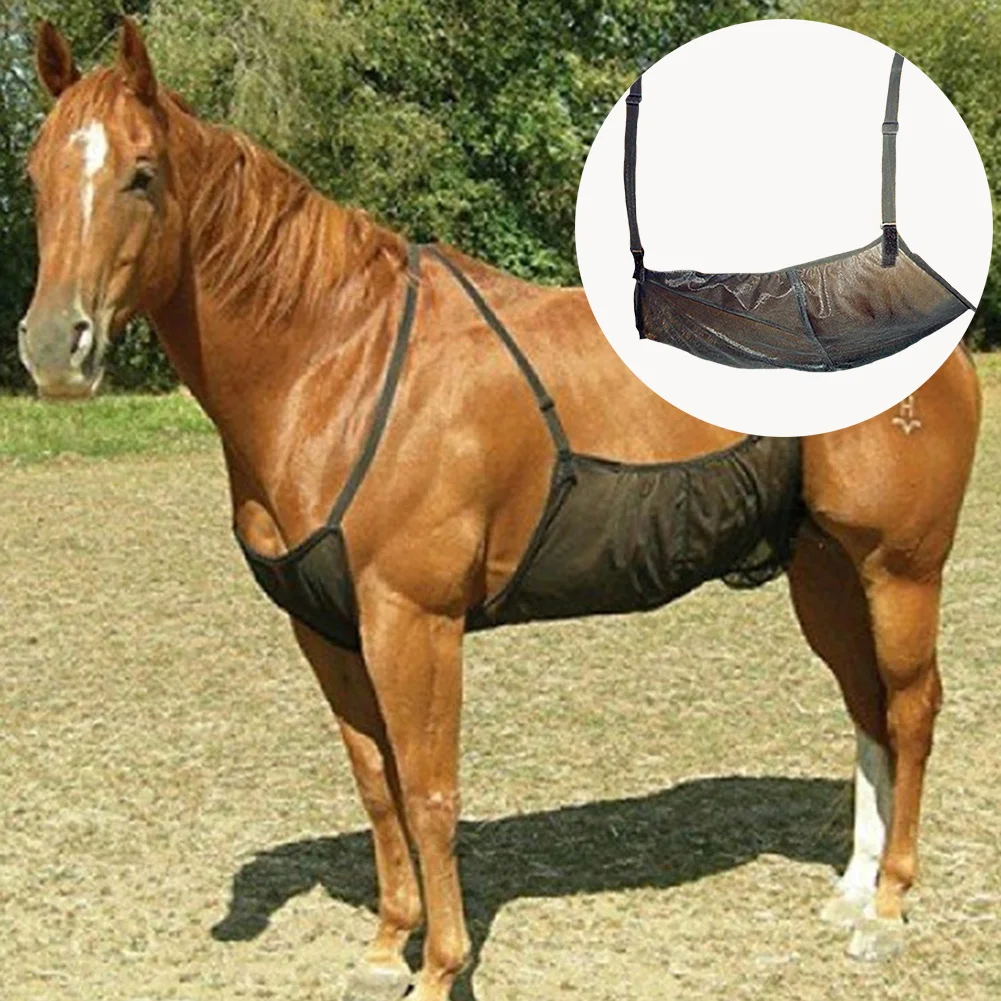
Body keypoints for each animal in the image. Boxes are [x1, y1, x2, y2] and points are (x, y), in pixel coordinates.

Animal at [19, 19, 981, 1001]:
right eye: (35, 173)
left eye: (142, 173)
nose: (56, 348)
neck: (338, 361)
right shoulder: (326, 629)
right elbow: (378, 785)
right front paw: (385, 947)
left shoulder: (413, 621)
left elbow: (429, 791)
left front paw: (440, 965)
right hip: (824, 571)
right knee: (866, 707)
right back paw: (854, 889)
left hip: (900, 570)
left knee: (911, 710)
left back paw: (889, 907)